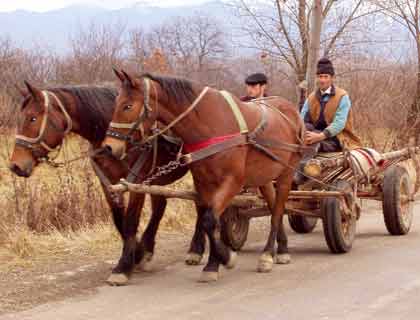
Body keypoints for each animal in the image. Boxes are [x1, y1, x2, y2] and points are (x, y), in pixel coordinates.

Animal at [9, 82, 207, 284]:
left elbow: (130, 221)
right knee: (161, 206)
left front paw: (123, 267)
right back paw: (148, 248)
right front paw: (137, 254)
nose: (15, 165)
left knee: (199, 204)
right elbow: (119, 221)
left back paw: (195, 250)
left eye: (32, 118)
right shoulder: (108, 184)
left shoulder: (136, 183)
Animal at [103, 70, 304, 282]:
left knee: (278, 210)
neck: (212, 125)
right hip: (264, 178)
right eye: (116, 102)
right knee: (274, 207)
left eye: (128, 106)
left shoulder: (232, 182)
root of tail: (290, 110)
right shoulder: (204, 183)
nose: (109, 147)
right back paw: (281, 249)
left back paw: (267, 255)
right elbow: (211, 222)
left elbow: (208, 220)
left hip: (286, 174)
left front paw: (225, 258)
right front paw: (214, 263)